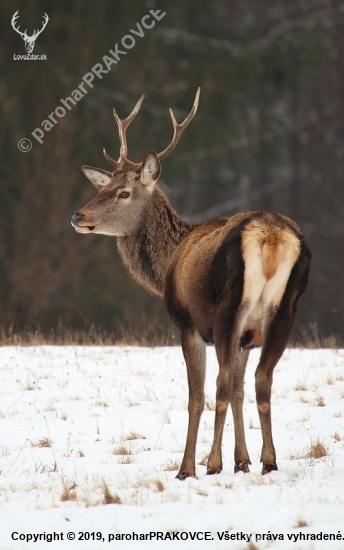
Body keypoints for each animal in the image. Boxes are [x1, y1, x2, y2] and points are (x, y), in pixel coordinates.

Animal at [71, 88, 310, 480]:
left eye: (124, 193)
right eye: (104, 186)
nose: (78, 216)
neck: (171, 255)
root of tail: (271, 236)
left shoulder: (188, 325)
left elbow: (196, 397)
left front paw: (187, 468)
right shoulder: (247, 337)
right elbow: (241, 390)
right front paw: (242, 460)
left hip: (229, 308)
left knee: (220, 385)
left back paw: (211, 464)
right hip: (284, 309)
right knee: (261, 381)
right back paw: (269, 461)